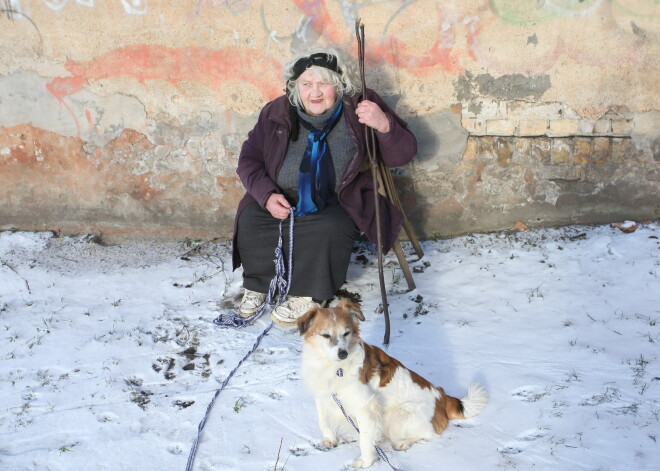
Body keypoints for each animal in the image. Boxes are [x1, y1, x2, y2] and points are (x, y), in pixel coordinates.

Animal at [296, 300, 488, 470]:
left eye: (346, 333)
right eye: (326, 335)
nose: (342, 353)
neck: (333, 366)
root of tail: (442, 396)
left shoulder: (365, 406)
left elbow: (365, 437)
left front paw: (366, 462)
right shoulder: (324, 395)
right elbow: (323, 420)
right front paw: (330, 439)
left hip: (399, 414)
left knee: (430, 434)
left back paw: (403, 442)